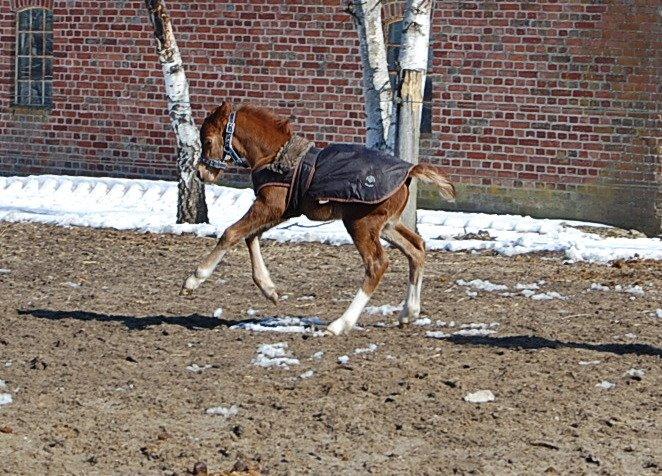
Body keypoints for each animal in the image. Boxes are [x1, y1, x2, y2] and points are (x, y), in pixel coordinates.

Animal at [181, 101, 456, 335]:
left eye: (207, 140)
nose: (202, 173)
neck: (274, 155)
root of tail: (410, 171)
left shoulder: (269, 206)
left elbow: (232, 233)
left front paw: (193, 280)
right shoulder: (283, 211)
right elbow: (251, 237)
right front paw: (269, 290)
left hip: (361, 223)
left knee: (377, 264)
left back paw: (340, 324)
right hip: (387, 225)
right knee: (416, 248)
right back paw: (409, 313)